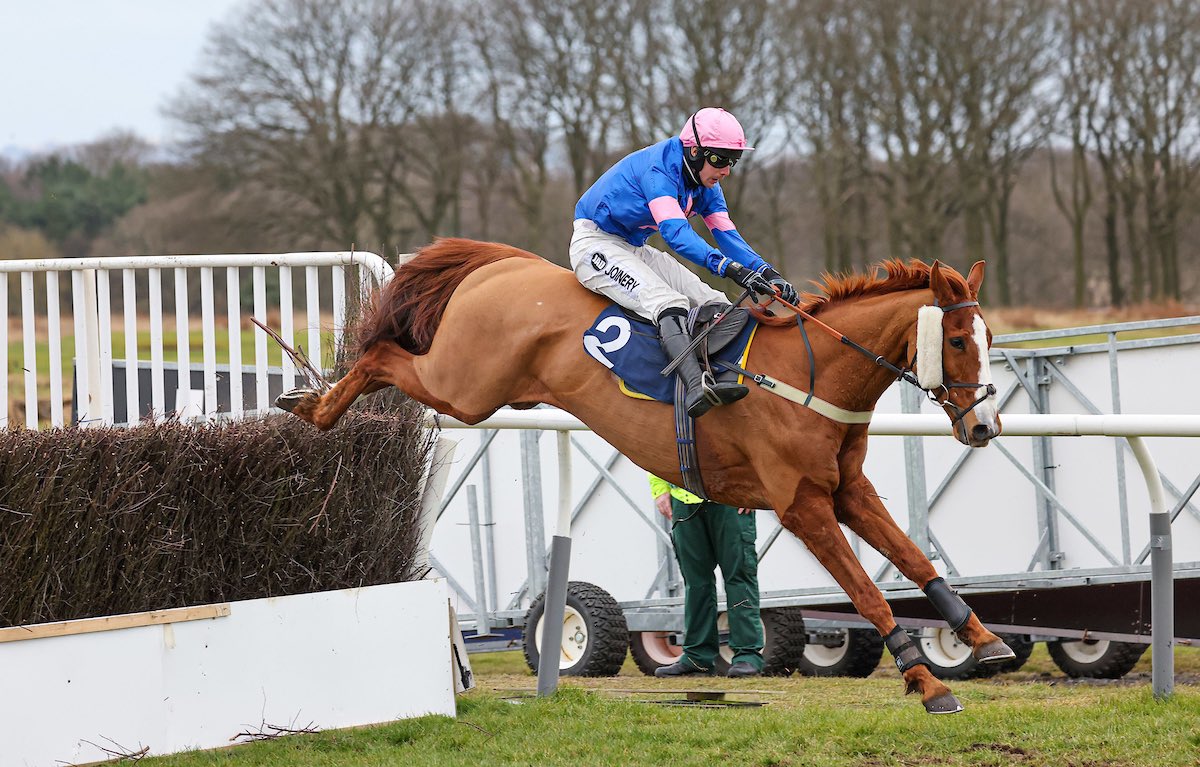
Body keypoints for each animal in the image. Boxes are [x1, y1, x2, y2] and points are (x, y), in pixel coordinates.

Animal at [275, 237, 1011, 714]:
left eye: (988, 338)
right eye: (956, 340)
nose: (983, 427)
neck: (811, 374)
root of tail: (505, 264)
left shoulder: (847, 491)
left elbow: (916, 559)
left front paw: (980, 637)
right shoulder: (801, 504)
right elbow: (868, 591)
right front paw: (927, 682)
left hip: (478, 388)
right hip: (464, 386)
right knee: (383, 354)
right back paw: (313, 404)